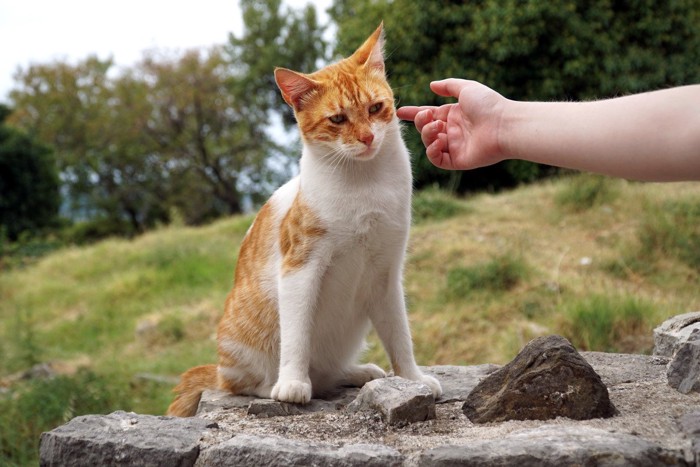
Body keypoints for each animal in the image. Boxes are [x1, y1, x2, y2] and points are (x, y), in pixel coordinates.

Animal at [167, 22, 440, 418]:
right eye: (338, 119)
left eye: (375, 107)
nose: (367, 137)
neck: (364, 184)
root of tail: (218, 370)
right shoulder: (300, 268)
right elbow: (297, 335)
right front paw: (293, 384)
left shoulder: (386, 273)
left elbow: (399, 335)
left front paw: (412, 378)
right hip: (242, 352)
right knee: (245, 383)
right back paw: (276, 385)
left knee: (328, 372)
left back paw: (355, 372)